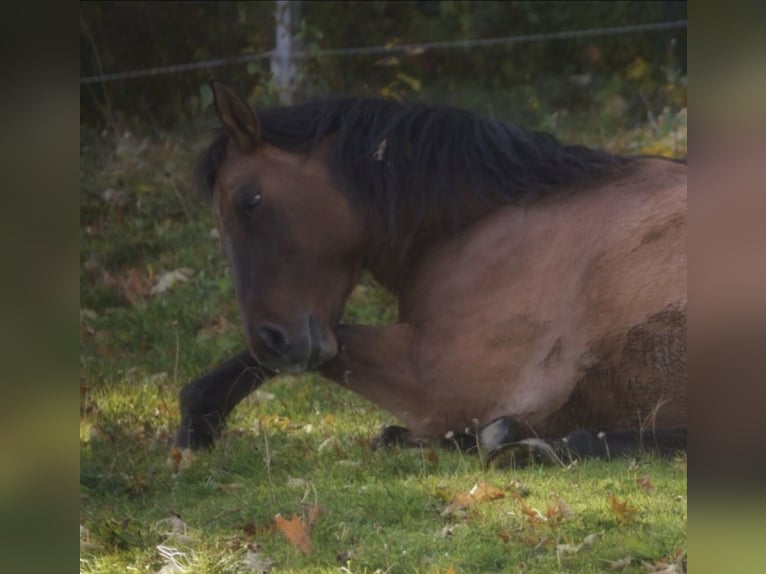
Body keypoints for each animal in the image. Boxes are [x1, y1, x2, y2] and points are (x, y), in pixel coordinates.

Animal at [176, 80, 687, 465]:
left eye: (250, 201)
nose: (272, 340)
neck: (486, 224)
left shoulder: (434, 380)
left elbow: (332, 348)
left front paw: (199, 414)